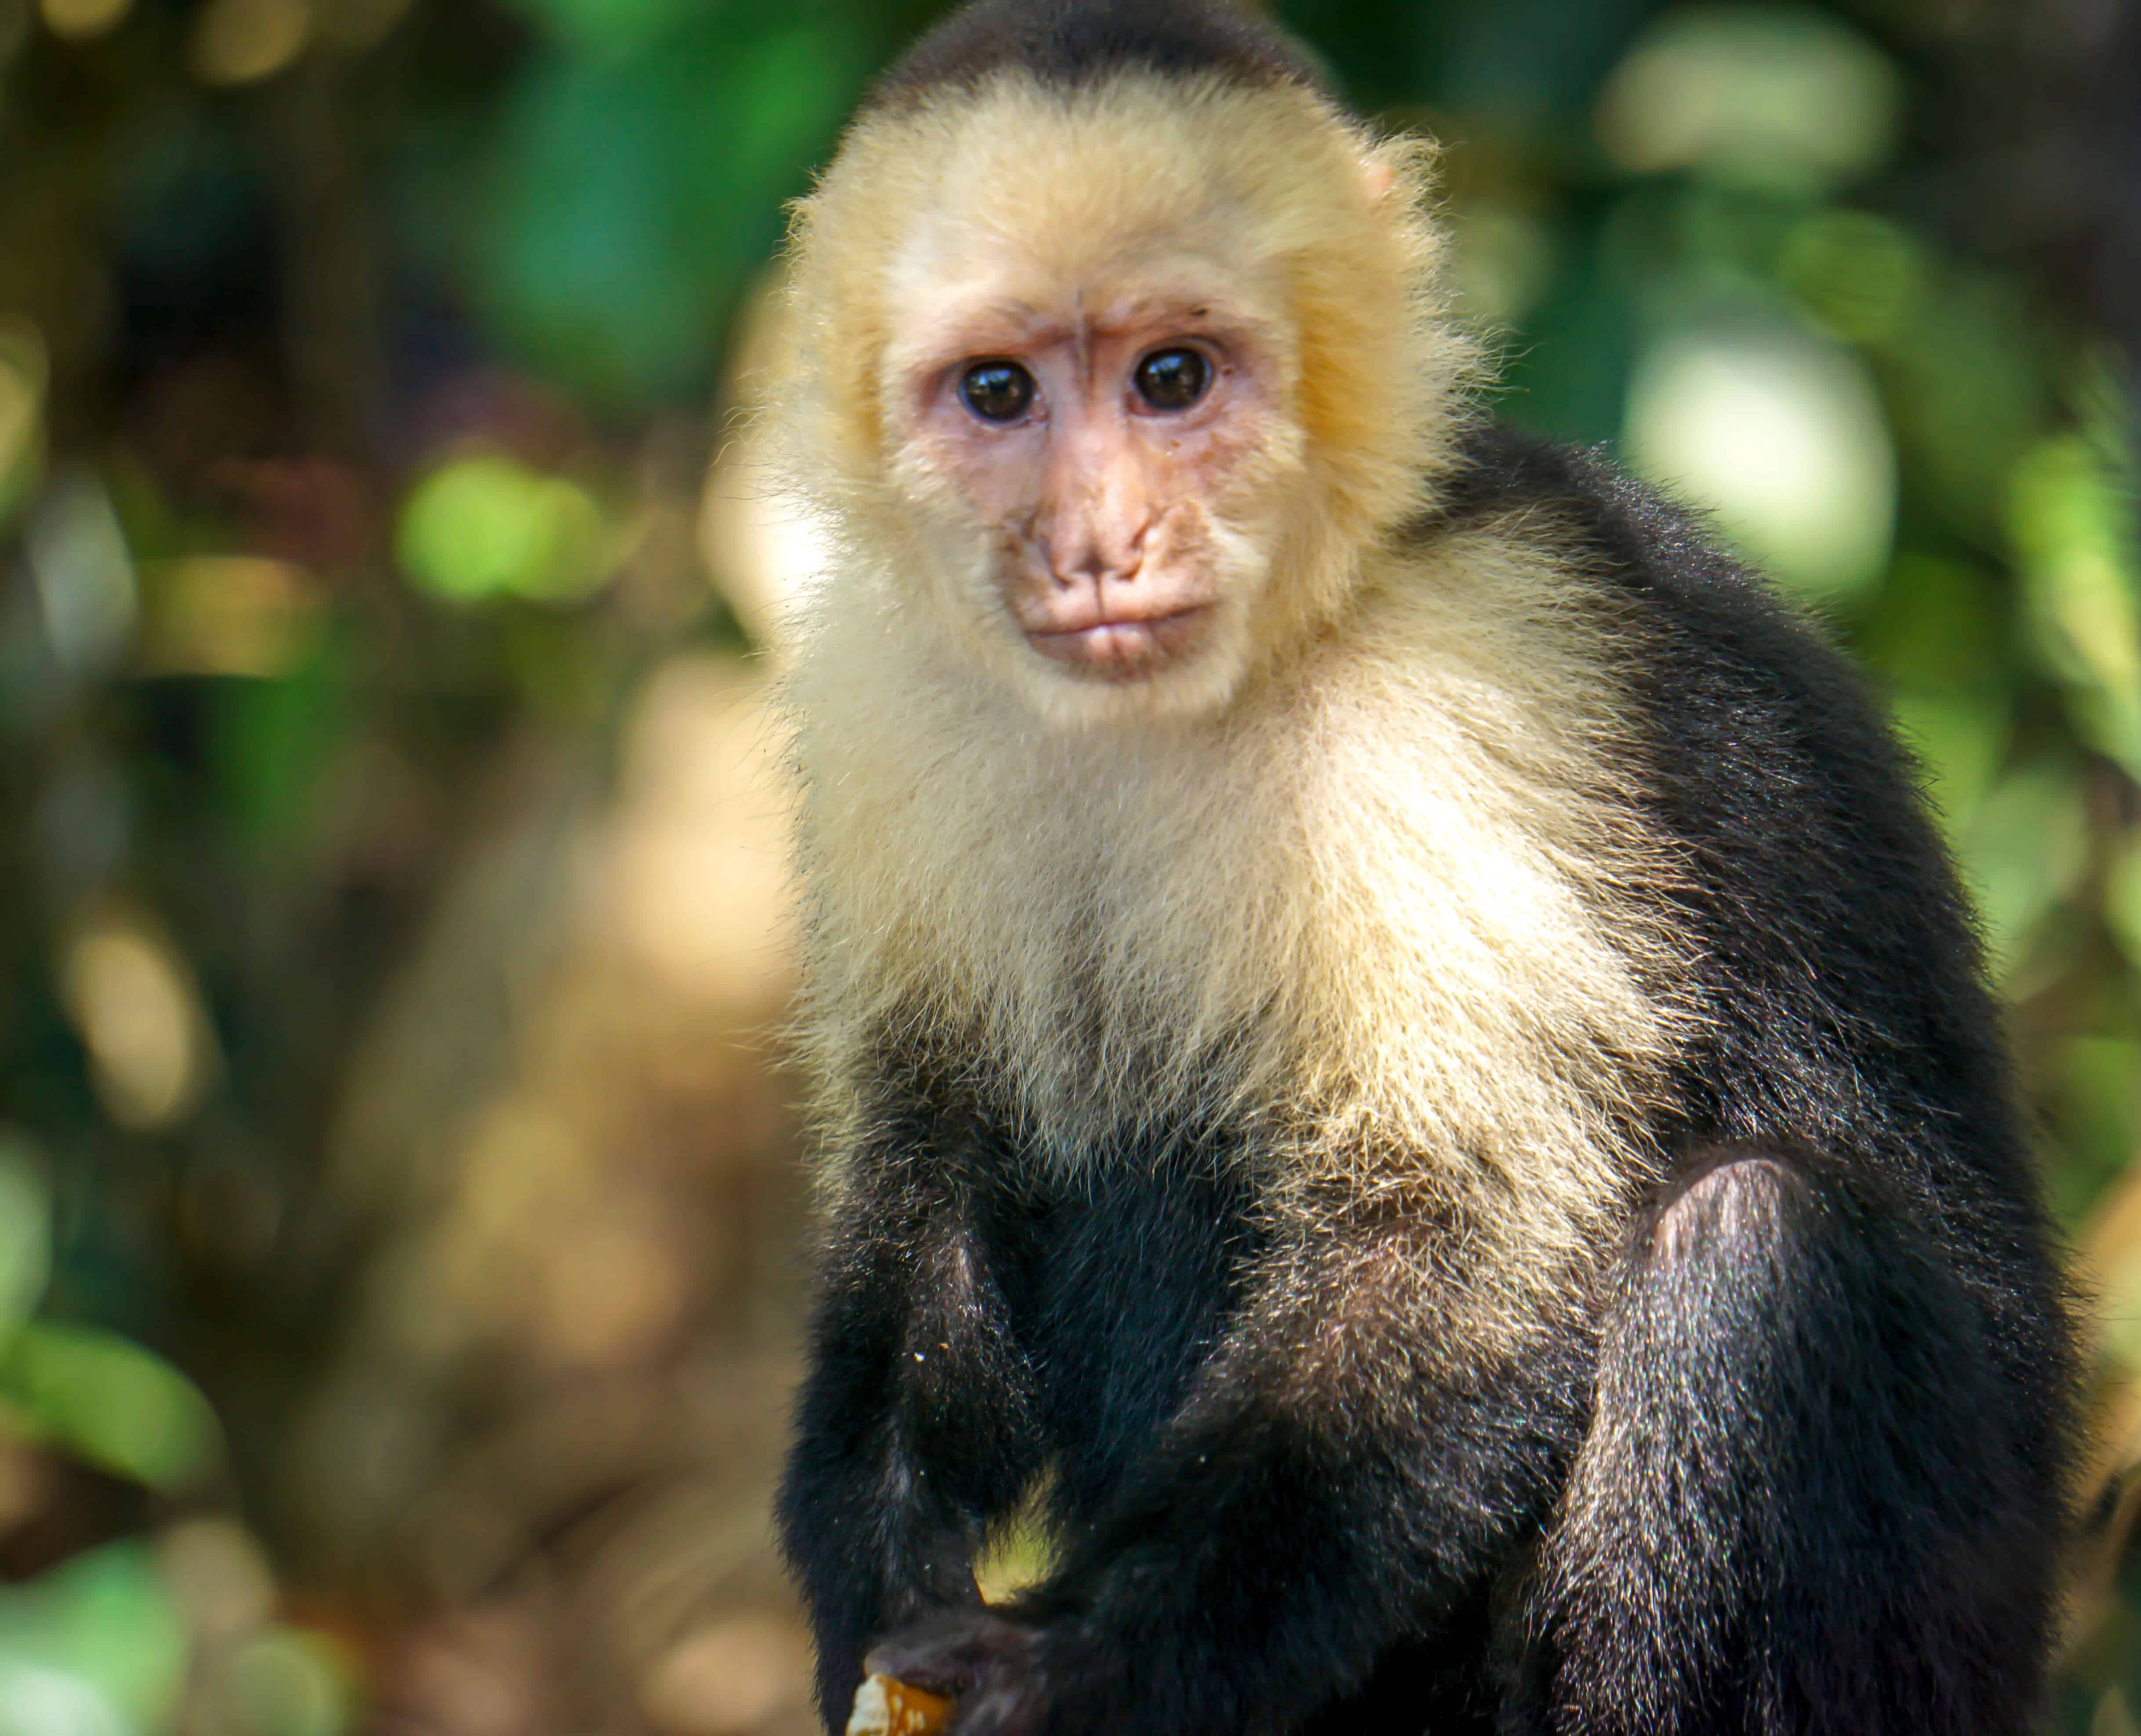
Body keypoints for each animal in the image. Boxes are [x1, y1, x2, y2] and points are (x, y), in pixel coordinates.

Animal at [770, 3, 2072, 1736]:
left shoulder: (1459, 683)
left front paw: (1070, 1664)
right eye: (996, 391)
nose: (1099, 542)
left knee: (1754, 1253)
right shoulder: (875, 693)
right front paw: (870, 1580)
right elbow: (931, 1165)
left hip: (1930, 1654)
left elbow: (1464, 1230)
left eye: (1171, 377)